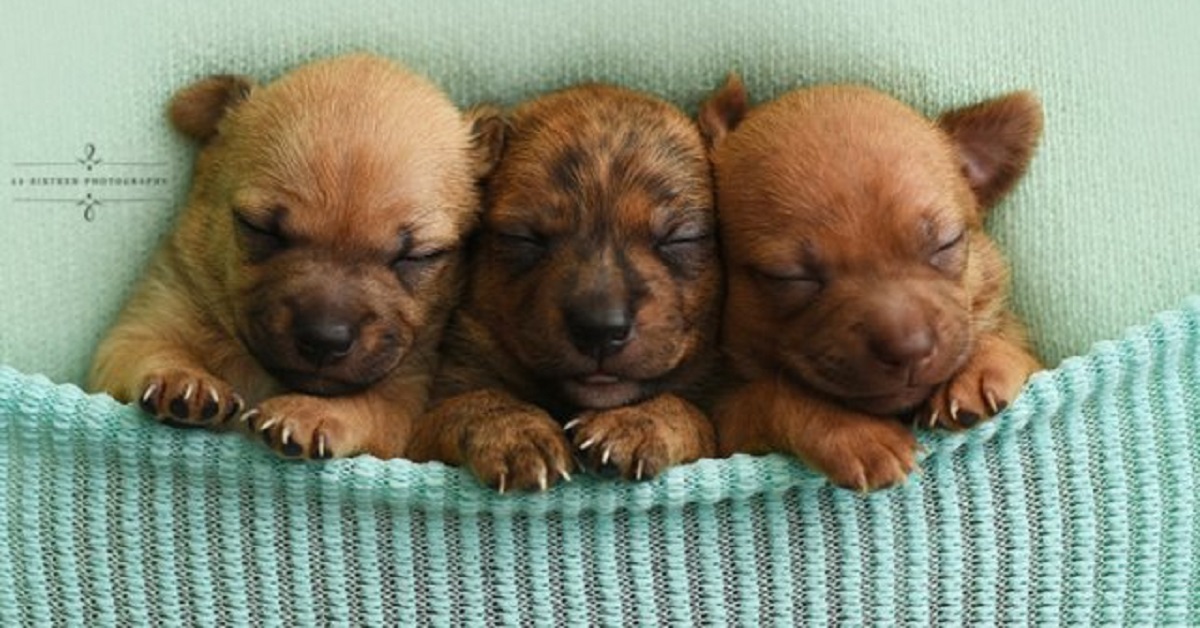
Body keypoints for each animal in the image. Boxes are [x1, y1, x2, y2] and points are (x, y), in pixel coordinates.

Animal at [87, 52, 494, 456]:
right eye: (259, 229)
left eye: (418, 257)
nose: (324, 340)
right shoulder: (134, 333)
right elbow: (149, 350)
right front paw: (184, 378)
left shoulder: (405, 400)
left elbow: (367, 405)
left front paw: (308, 412)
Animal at [403, 84, 720, 492]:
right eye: (525, 238)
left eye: (679, 239)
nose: (600, 330)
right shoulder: (425, 424)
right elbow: (472, 402)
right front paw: (516, 431)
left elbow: (688, 411)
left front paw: (633, 422)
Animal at [700, 76, 1046, 492]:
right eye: (790, 277)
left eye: (946, 244)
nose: (910, 348)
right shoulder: (728, 420)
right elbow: (772, 393)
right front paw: (855, 433)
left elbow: (1011, 344)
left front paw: (984, 364)